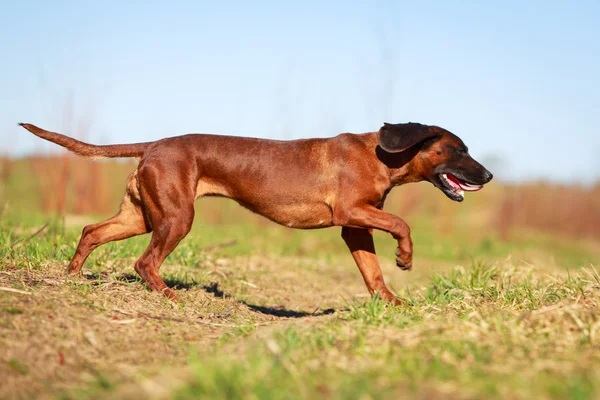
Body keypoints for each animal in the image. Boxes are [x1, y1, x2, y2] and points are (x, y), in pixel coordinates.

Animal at [18, 122, 492, 304]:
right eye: (458, 149)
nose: (487, 175)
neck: (382, 155)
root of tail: (153, 144)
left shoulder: (355, 228)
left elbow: (371, 272)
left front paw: (390, 303)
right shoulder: (351, 212)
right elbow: (401, 224)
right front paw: (405, 257)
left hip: (141, 217)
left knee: (90, 231)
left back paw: (71, 278)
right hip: (175, 219)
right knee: (145, 261)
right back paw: (170, 296)